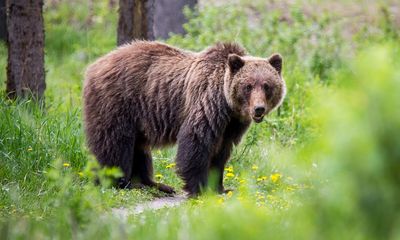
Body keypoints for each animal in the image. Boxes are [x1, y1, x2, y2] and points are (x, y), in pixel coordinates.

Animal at [83, 40, 286, 195]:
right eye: (248, 86)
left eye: (267, 85)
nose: (258, 109)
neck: (228, 106)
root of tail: (94, 65)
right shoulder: (206, 105)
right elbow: (196, 143)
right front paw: (199, 188)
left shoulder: (230, 125)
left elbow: (221, 154)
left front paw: (221, 188)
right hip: (118, 102)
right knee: (115, 143)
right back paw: (117, 182)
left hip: (138, 118)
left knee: (139, 148)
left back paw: (155, 185)